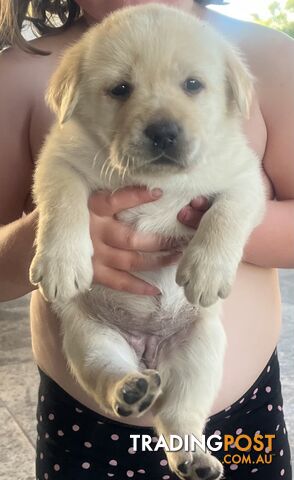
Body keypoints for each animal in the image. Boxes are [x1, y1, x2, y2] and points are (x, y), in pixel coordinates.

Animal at [29, 4, 266, 480]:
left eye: (193, 85)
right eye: (121, 89)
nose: (163, 132)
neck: (158, 180)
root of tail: (148, 351)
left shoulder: (246, 177)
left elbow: (226, 213)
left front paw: (206, 270)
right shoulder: (59, 159)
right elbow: (64, 201)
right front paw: (62, 263)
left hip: (200, 352)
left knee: (179, 414)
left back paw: (194, 457)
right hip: (89, 338)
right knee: (108, 375)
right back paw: (131, 389)